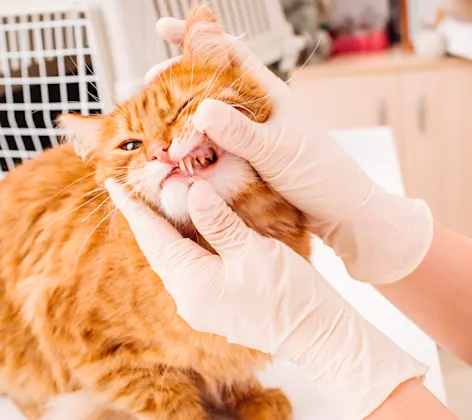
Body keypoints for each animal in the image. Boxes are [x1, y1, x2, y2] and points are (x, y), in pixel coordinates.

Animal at [0, 4, 310, 420]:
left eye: (182, 108)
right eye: (131, 145)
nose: (159, 152)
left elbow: (229, 367)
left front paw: (249, 397)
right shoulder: (107, 359)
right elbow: (169, 404)